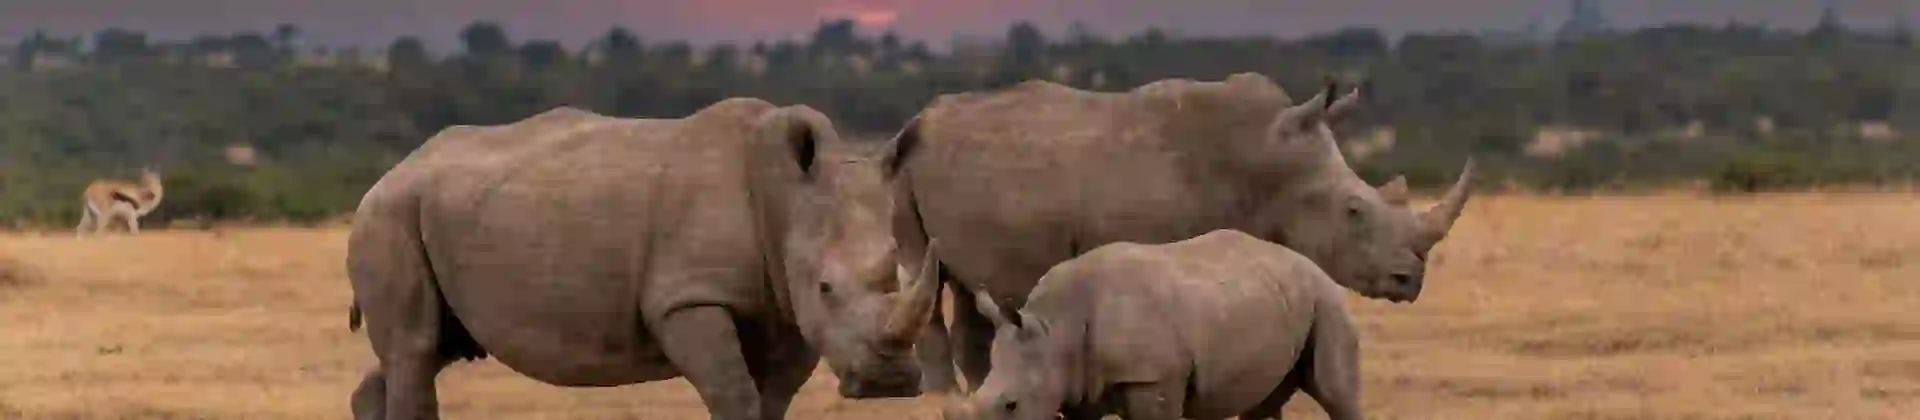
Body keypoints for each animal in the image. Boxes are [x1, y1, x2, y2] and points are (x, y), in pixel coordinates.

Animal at [343, 99, 944, 420]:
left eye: (902, 272)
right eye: (826, 288)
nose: (892, 382)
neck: (788, 197)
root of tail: (393, 170)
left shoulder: (786, 306)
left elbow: (773, 399)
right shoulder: (687, 297)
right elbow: (735, 393)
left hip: (434, 214)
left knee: (425, 349)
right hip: (386, 216)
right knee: (415, 347)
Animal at [884, 74, 1475, 393]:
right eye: (1354, 211)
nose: (1410, 280)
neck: (1266, 165)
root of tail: (917, 123)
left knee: (969, 283)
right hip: (901, 169)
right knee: (923, 271)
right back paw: (943, 398)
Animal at [939, 229, 1368, 420]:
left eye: (1010, 405)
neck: (1053, 328)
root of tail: (1310, 263)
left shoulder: (1150, 378)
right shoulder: (1075, 386)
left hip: (1327, 302)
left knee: (1336, 393)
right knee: (1263, 402)